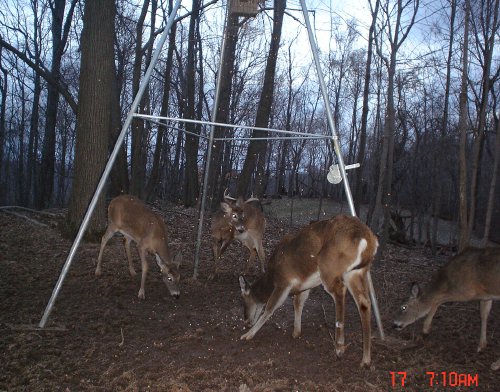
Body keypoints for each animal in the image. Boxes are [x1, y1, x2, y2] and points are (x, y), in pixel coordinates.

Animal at [240, 214, 376, 368]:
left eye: (243, 299)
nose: (246, 320)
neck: (271, 277)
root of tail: (368, 240)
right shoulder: (304, 285)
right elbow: (298, 304)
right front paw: (296, 332)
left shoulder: (283, 282)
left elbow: (270, 308)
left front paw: (248, 335)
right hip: (356, 272)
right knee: (364, 302)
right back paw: (365, 359)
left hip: (330, 269)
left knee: (340, 293)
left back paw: (339, 348)